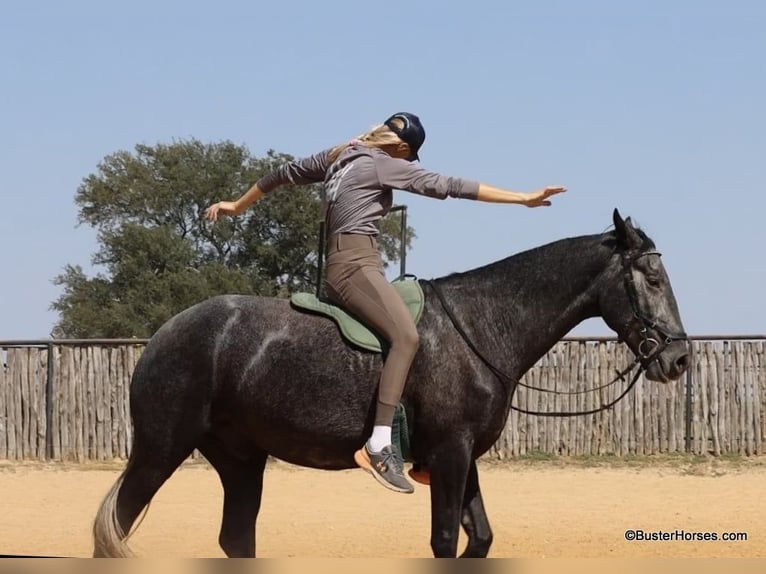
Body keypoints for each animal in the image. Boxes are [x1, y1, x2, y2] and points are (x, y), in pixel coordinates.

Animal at [92, 209, 689, 558]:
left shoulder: (463, 456)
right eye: (653, 278)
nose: (679, 357)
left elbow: (480, 538)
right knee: (114, 529)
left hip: (240, 459)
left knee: (235, 538)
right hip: (160, 450)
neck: (481, 325)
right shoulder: (449, 455)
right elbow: (445, 540)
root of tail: (165, 334)